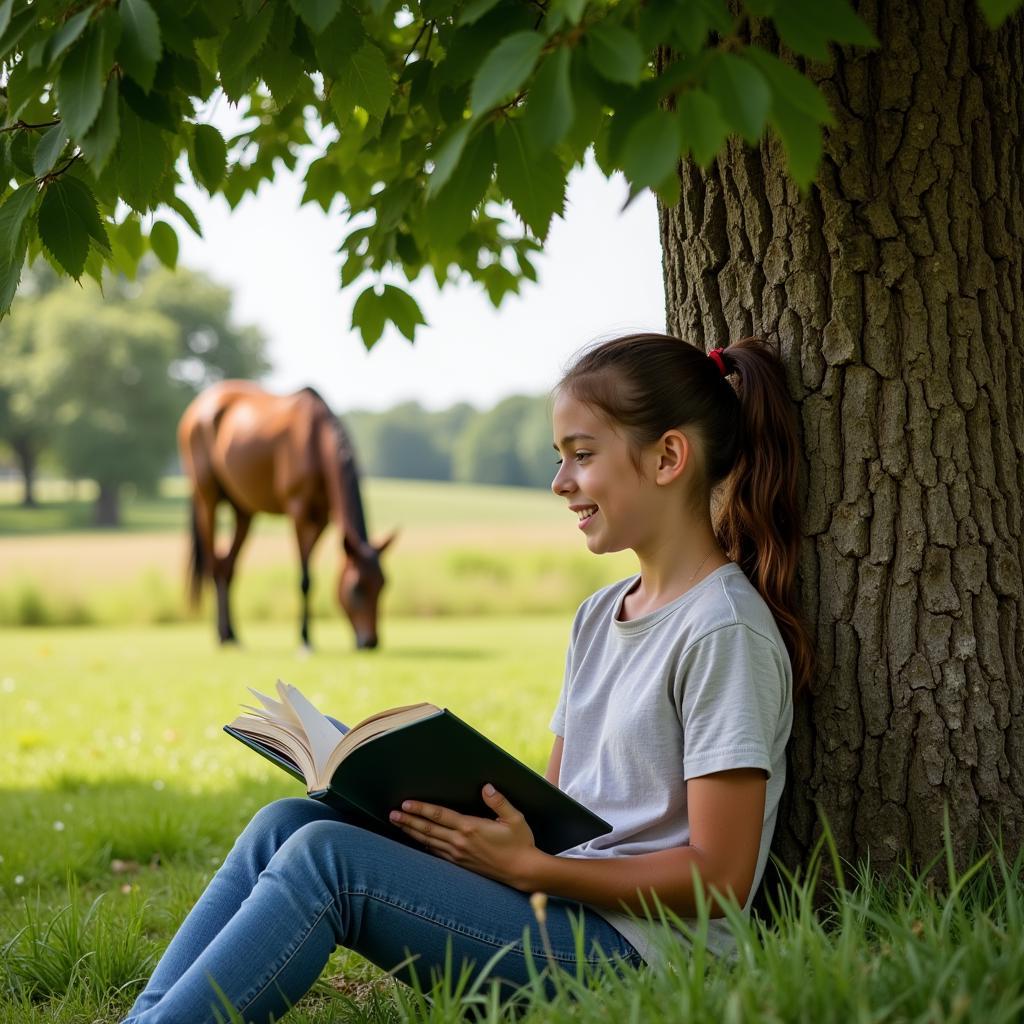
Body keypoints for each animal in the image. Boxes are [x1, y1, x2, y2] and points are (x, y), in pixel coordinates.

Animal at [176, 380, 391, 651]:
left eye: (383, 585)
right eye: (357, 589)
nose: (370, 641)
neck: (315, 441)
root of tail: (197, 408)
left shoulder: (322, 518)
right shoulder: (298, 511)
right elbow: (305, 579)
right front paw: (305, 639)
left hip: (242, 509)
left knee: (227, 567)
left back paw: (233, 634)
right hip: (207, 499)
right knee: (214, 565)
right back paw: (221, 637)